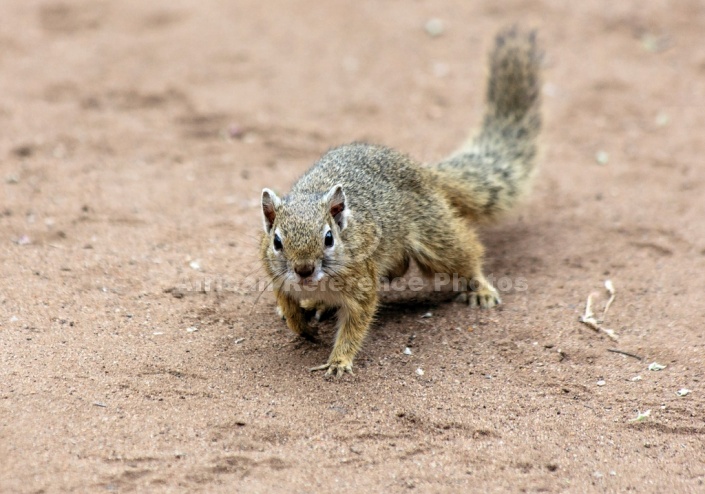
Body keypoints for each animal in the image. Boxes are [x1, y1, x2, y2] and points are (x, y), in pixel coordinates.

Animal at [258, 27, 540, 378]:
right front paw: (301, 325)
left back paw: (481, 288)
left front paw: (339, 361)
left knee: (465, 252)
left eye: (329, 238)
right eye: (277, 242)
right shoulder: (277, 278)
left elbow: (356, 323)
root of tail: (421, 170)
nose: (304, 270)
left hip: (434, 238)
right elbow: (289, 307)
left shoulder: (362, 284)